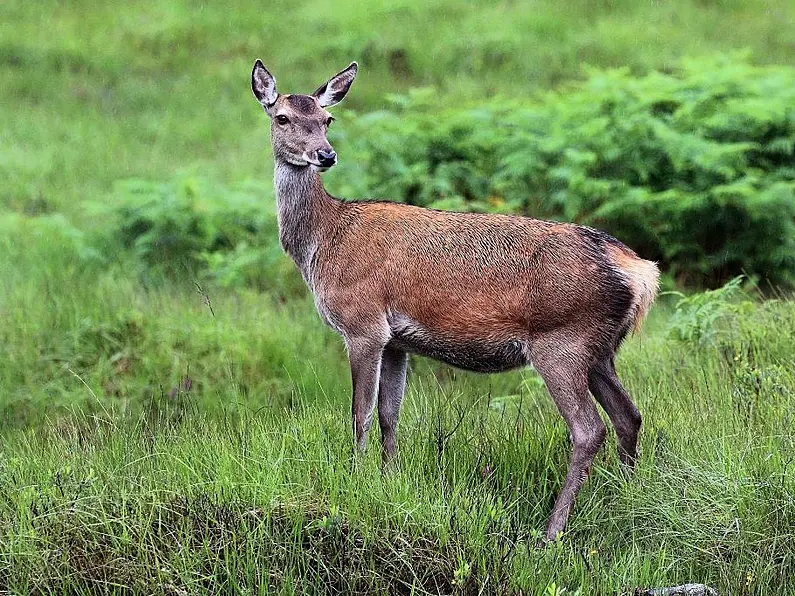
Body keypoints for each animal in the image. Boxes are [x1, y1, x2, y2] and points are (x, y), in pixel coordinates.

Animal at [250, 60, 660, 540]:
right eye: (283, 118)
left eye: (328, 119)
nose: (326, 155)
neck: (323, 242)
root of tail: (639, 271)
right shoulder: (396, 341)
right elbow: (390, 414)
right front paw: (387, 481)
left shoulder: (362, 324)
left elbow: (360, 413)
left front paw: (354, 479)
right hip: (601, 349)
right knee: (629, 416)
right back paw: (626, 500)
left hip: (562, 342)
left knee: (588, 429)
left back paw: (551, 530)